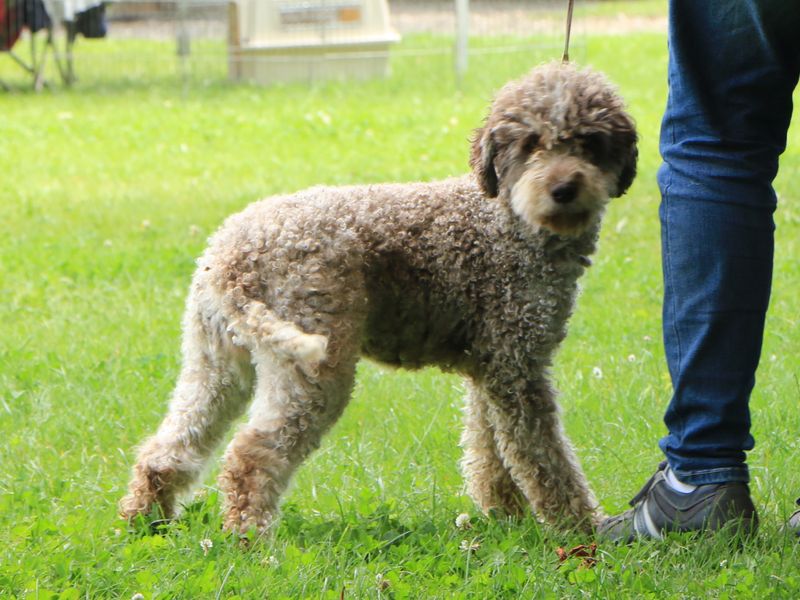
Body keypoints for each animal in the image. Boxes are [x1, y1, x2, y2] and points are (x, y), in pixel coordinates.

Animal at [120, 62, 637, 534]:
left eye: (589, 142)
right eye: (530, 144)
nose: (564, 188)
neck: (509, 221)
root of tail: (232, 255)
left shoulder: (492, 368)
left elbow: (490, 451)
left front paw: (506, 518)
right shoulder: (518, 368)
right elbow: (543, 458)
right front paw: (581, 528)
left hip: (218, 362)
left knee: (172, 445)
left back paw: (146, 517)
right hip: (314, 367)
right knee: (251, 455)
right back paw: (251, 540)